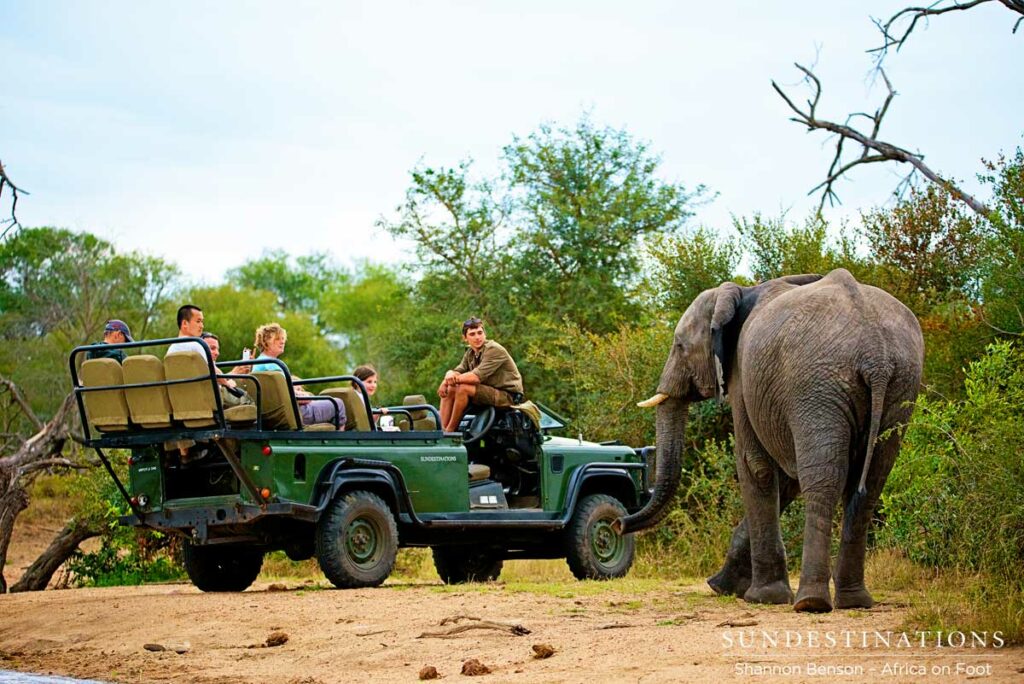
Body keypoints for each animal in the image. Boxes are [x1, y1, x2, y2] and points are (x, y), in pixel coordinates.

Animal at [618, 268, 923, 613]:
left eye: (680, 346)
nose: (618, 524)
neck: (739, 291)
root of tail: (875, 356)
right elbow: (788, 479)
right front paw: (723, 586)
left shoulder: (741, 376)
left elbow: (755, 464)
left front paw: (761, 597)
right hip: (900, 387)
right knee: (870, 484)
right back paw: (853, 601)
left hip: (816, 385)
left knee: (824, 480)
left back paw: (811, 603)